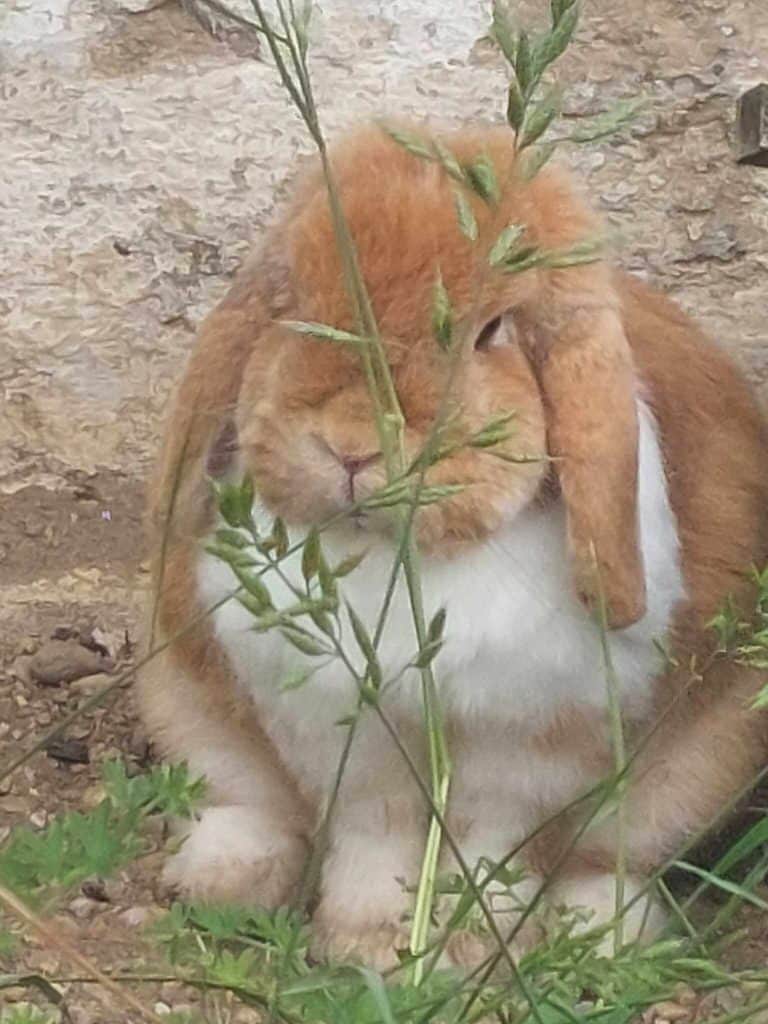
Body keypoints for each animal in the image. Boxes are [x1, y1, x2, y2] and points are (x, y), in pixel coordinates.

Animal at [138, 121, 768, 966]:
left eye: (491, 331)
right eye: (293, 300)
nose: (351, 446)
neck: (400, 559)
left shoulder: (529, 752)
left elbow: (489, 851)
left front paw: (468, 950)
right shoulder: (344, 736)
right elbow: (374, 835)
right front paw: (366, 944)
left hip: (695, 774)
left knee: (608, 860)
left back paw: (602, 933)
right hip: (183, 707)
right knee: (260, 805)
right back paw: (220, 873)